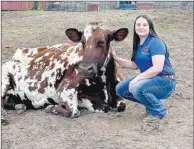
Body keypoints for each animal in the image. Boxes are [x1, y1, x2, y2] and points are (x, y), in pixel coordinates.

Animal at [1, 22, 129, 124]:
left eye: (101, 42)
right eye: (82, 42)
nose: (84, 68)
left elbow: (122, 105)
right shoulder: (64, 89)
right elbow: (73, 111)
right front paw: (50, 107)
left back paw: (19, 106)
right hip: (4, 78)